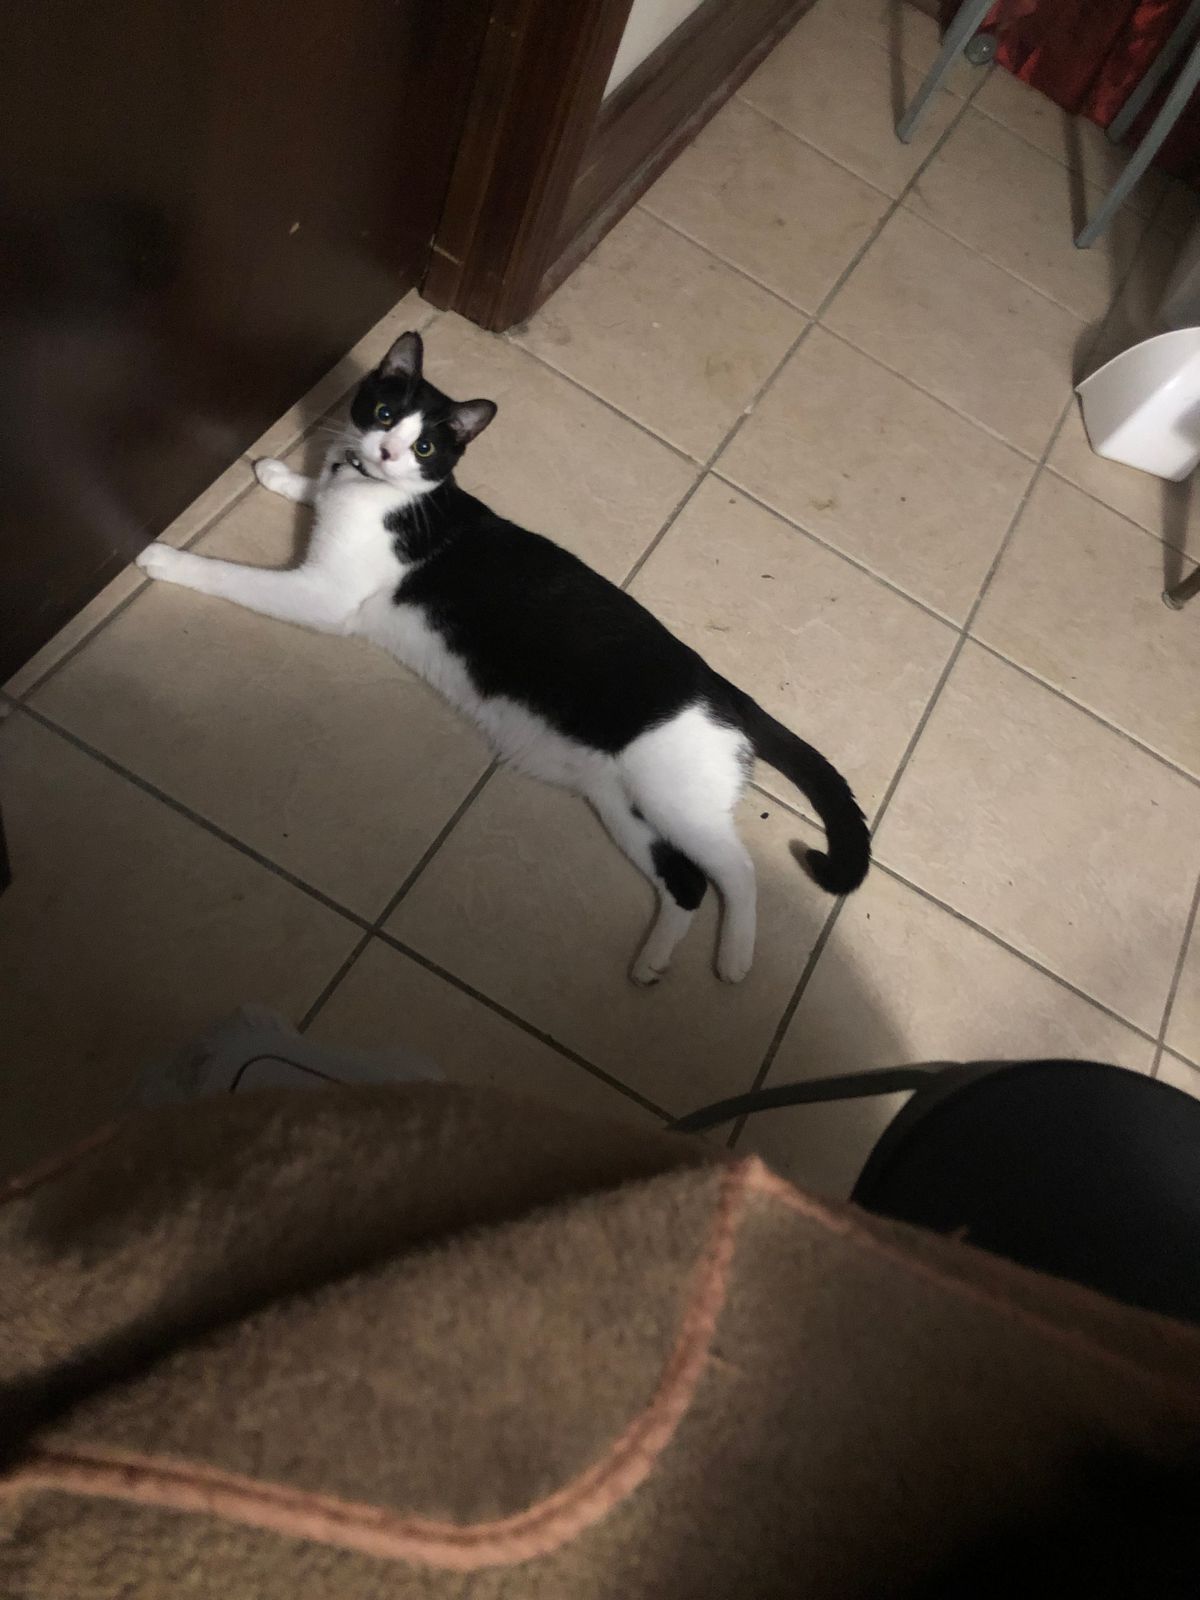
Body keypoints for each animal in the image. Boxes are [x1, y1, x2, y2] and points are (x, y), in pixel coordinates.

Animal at [136, 330, 869, 984]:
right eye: (384, 414)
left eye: (425, 446)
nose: (384, 450)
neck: (386, 494)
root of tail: (722, 686)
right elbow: (320, 484)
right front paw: (285, 473)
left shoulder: (324, 596)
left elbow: (234, 577)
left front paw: (166, 557)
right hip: (622, 802)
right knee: (684, 884)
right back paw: (653, 961)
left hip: (678, 797)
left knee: (739, 874)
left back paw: (735, 959)